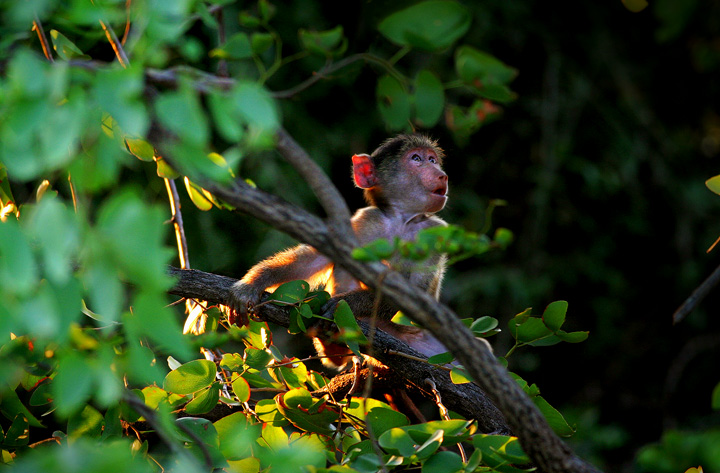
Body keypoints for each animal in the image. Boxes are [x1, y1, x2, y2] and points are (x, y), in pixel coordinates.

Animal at [229, 134, 452, 369]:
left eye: (433, 160)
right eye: (417, 158)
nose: (442, 175)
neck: (401, 220)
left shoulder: (434, 231)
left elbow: (413, 297)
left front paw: (344, 305)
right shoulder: (366, 221)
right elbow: (317, 257)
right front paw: (251, 285)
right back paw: (333, 347)